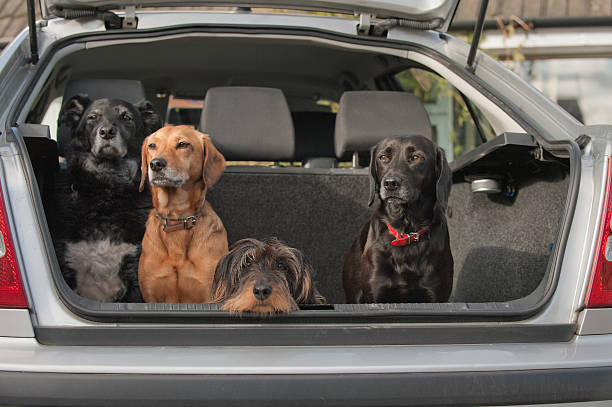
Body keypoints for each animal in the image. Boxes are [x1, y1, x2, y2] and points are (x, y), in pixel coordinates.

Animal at [342, 135, 452, 304]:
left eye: (416, 157)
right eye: (383, 157)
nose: (390, 183)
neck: (406, 230)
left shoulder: (436, 296)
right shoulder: (375, 295)